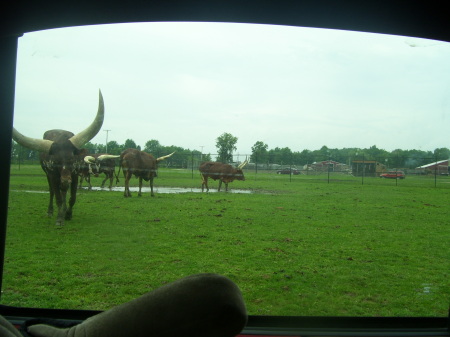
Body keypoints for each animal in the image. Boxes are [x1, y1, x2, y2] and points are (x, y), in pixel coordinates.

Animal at [11, 90, 105, 224]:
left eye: (72, 158)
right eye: (56, 161)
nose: (65, 179)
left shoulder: (75, 175)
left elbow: (72, 197)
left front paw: (68, 214)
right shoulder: (53, 176)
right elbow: (58, 197)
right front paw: (60, 218)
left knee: (63, 190)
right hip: (48, 175)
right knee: (53, 191)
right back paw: (50, 211)